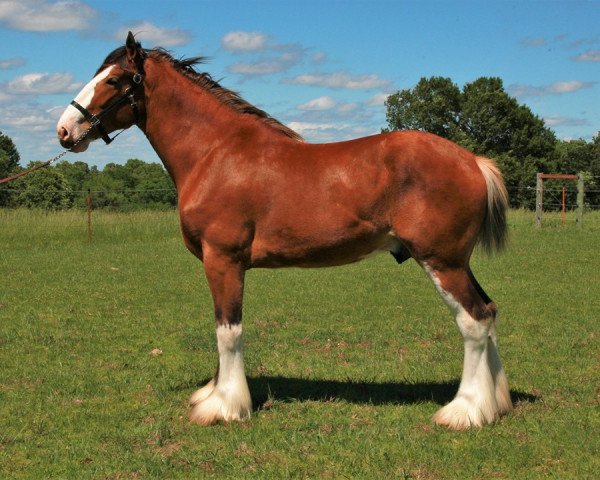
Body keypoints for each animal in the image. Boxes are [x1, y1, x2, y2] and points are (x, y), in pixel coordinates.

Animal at [56, 33, 510, 432]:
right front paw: (213, 394)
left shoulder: (223, 259)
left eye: (114, 80)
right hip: (457, 263)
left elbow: (228, 330)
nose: (64, 130)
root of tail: (474, 161)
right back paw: (496, 404)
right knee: (488, 312)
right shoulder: (219, 263)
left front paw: (224, 407)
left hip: (441, 261)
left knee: (473, 320)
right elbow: (219, 326)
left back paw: (464, 411)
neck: (216, 154)